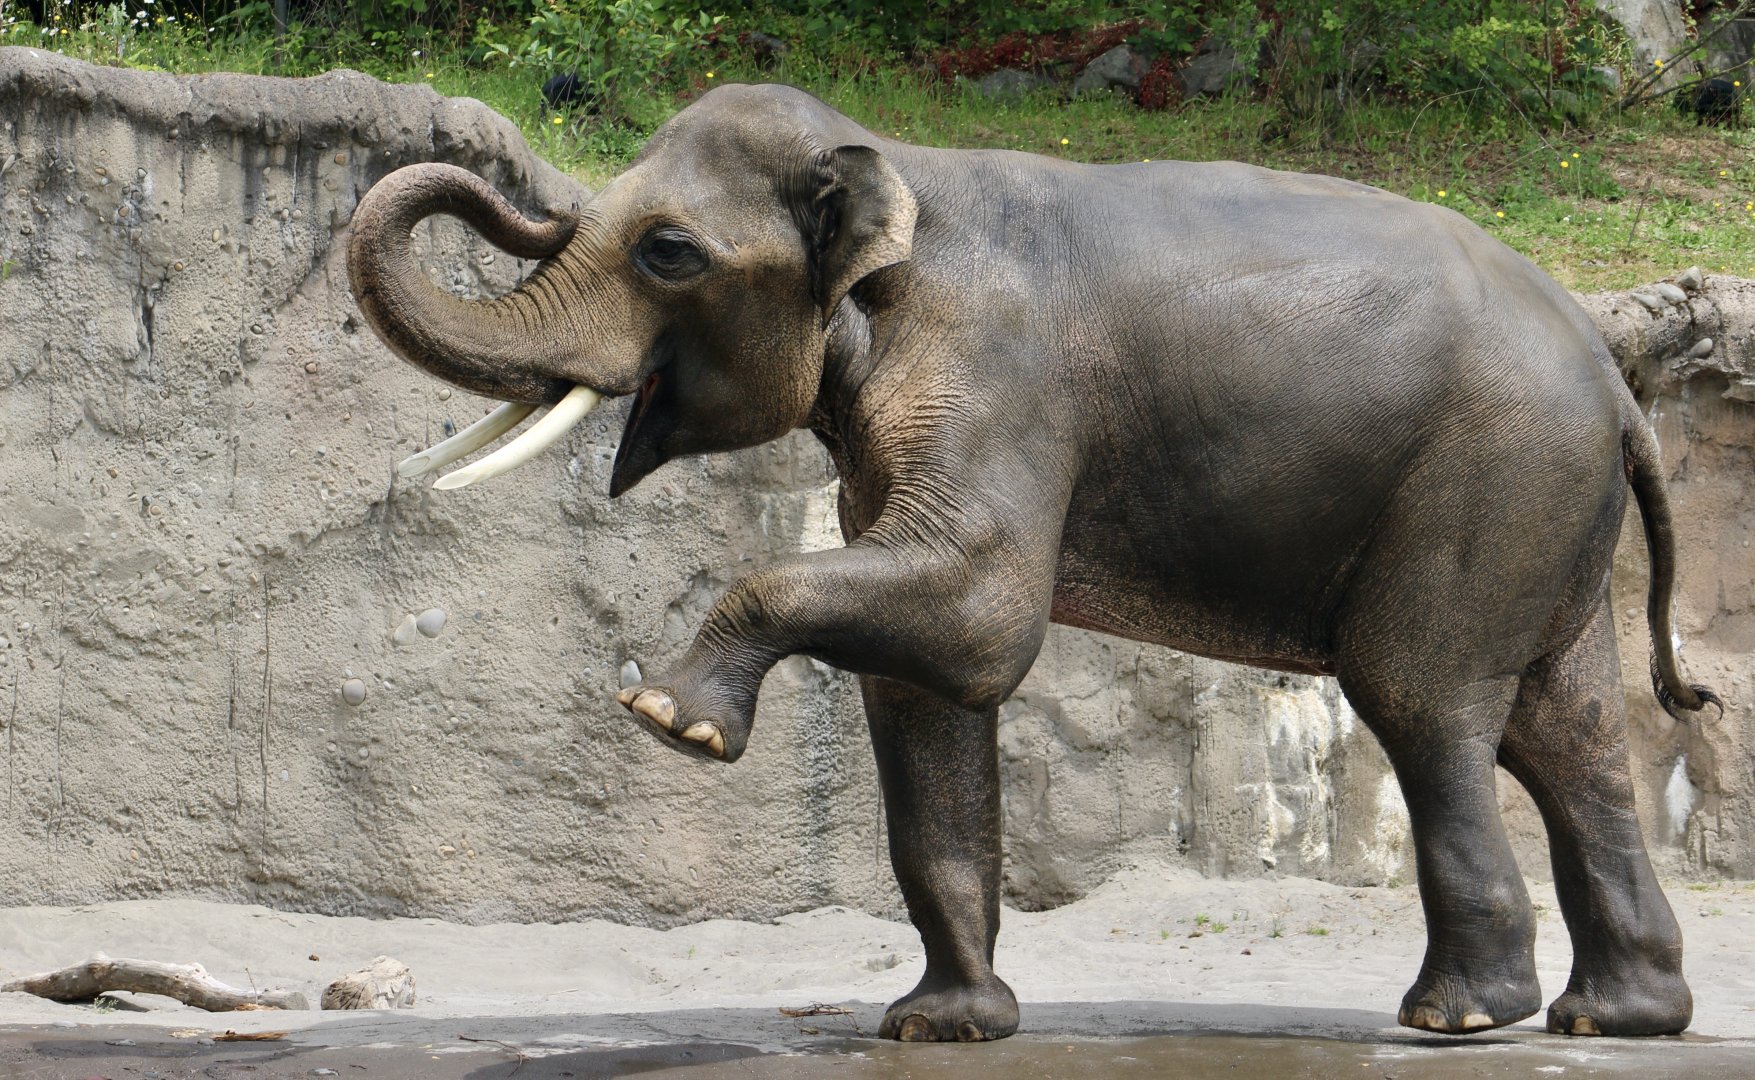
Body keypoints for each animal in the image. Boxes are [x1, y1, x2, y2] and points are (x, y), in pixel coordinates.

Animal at [347, 82, 1722, 1043]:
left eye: (669, 251)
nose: (502, 190)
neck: (899, 163)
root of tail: (1617, 383)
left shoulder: (995, 372)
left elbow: (978, 614)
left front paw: (669, 721)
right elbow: (926, 685)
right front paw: (940, 1030)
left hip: (1485, 483)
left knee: (1427, 703)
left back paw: (1461, 1016)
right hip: (1543, 506)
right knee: (1568, 732)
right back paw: (1617, 1019)